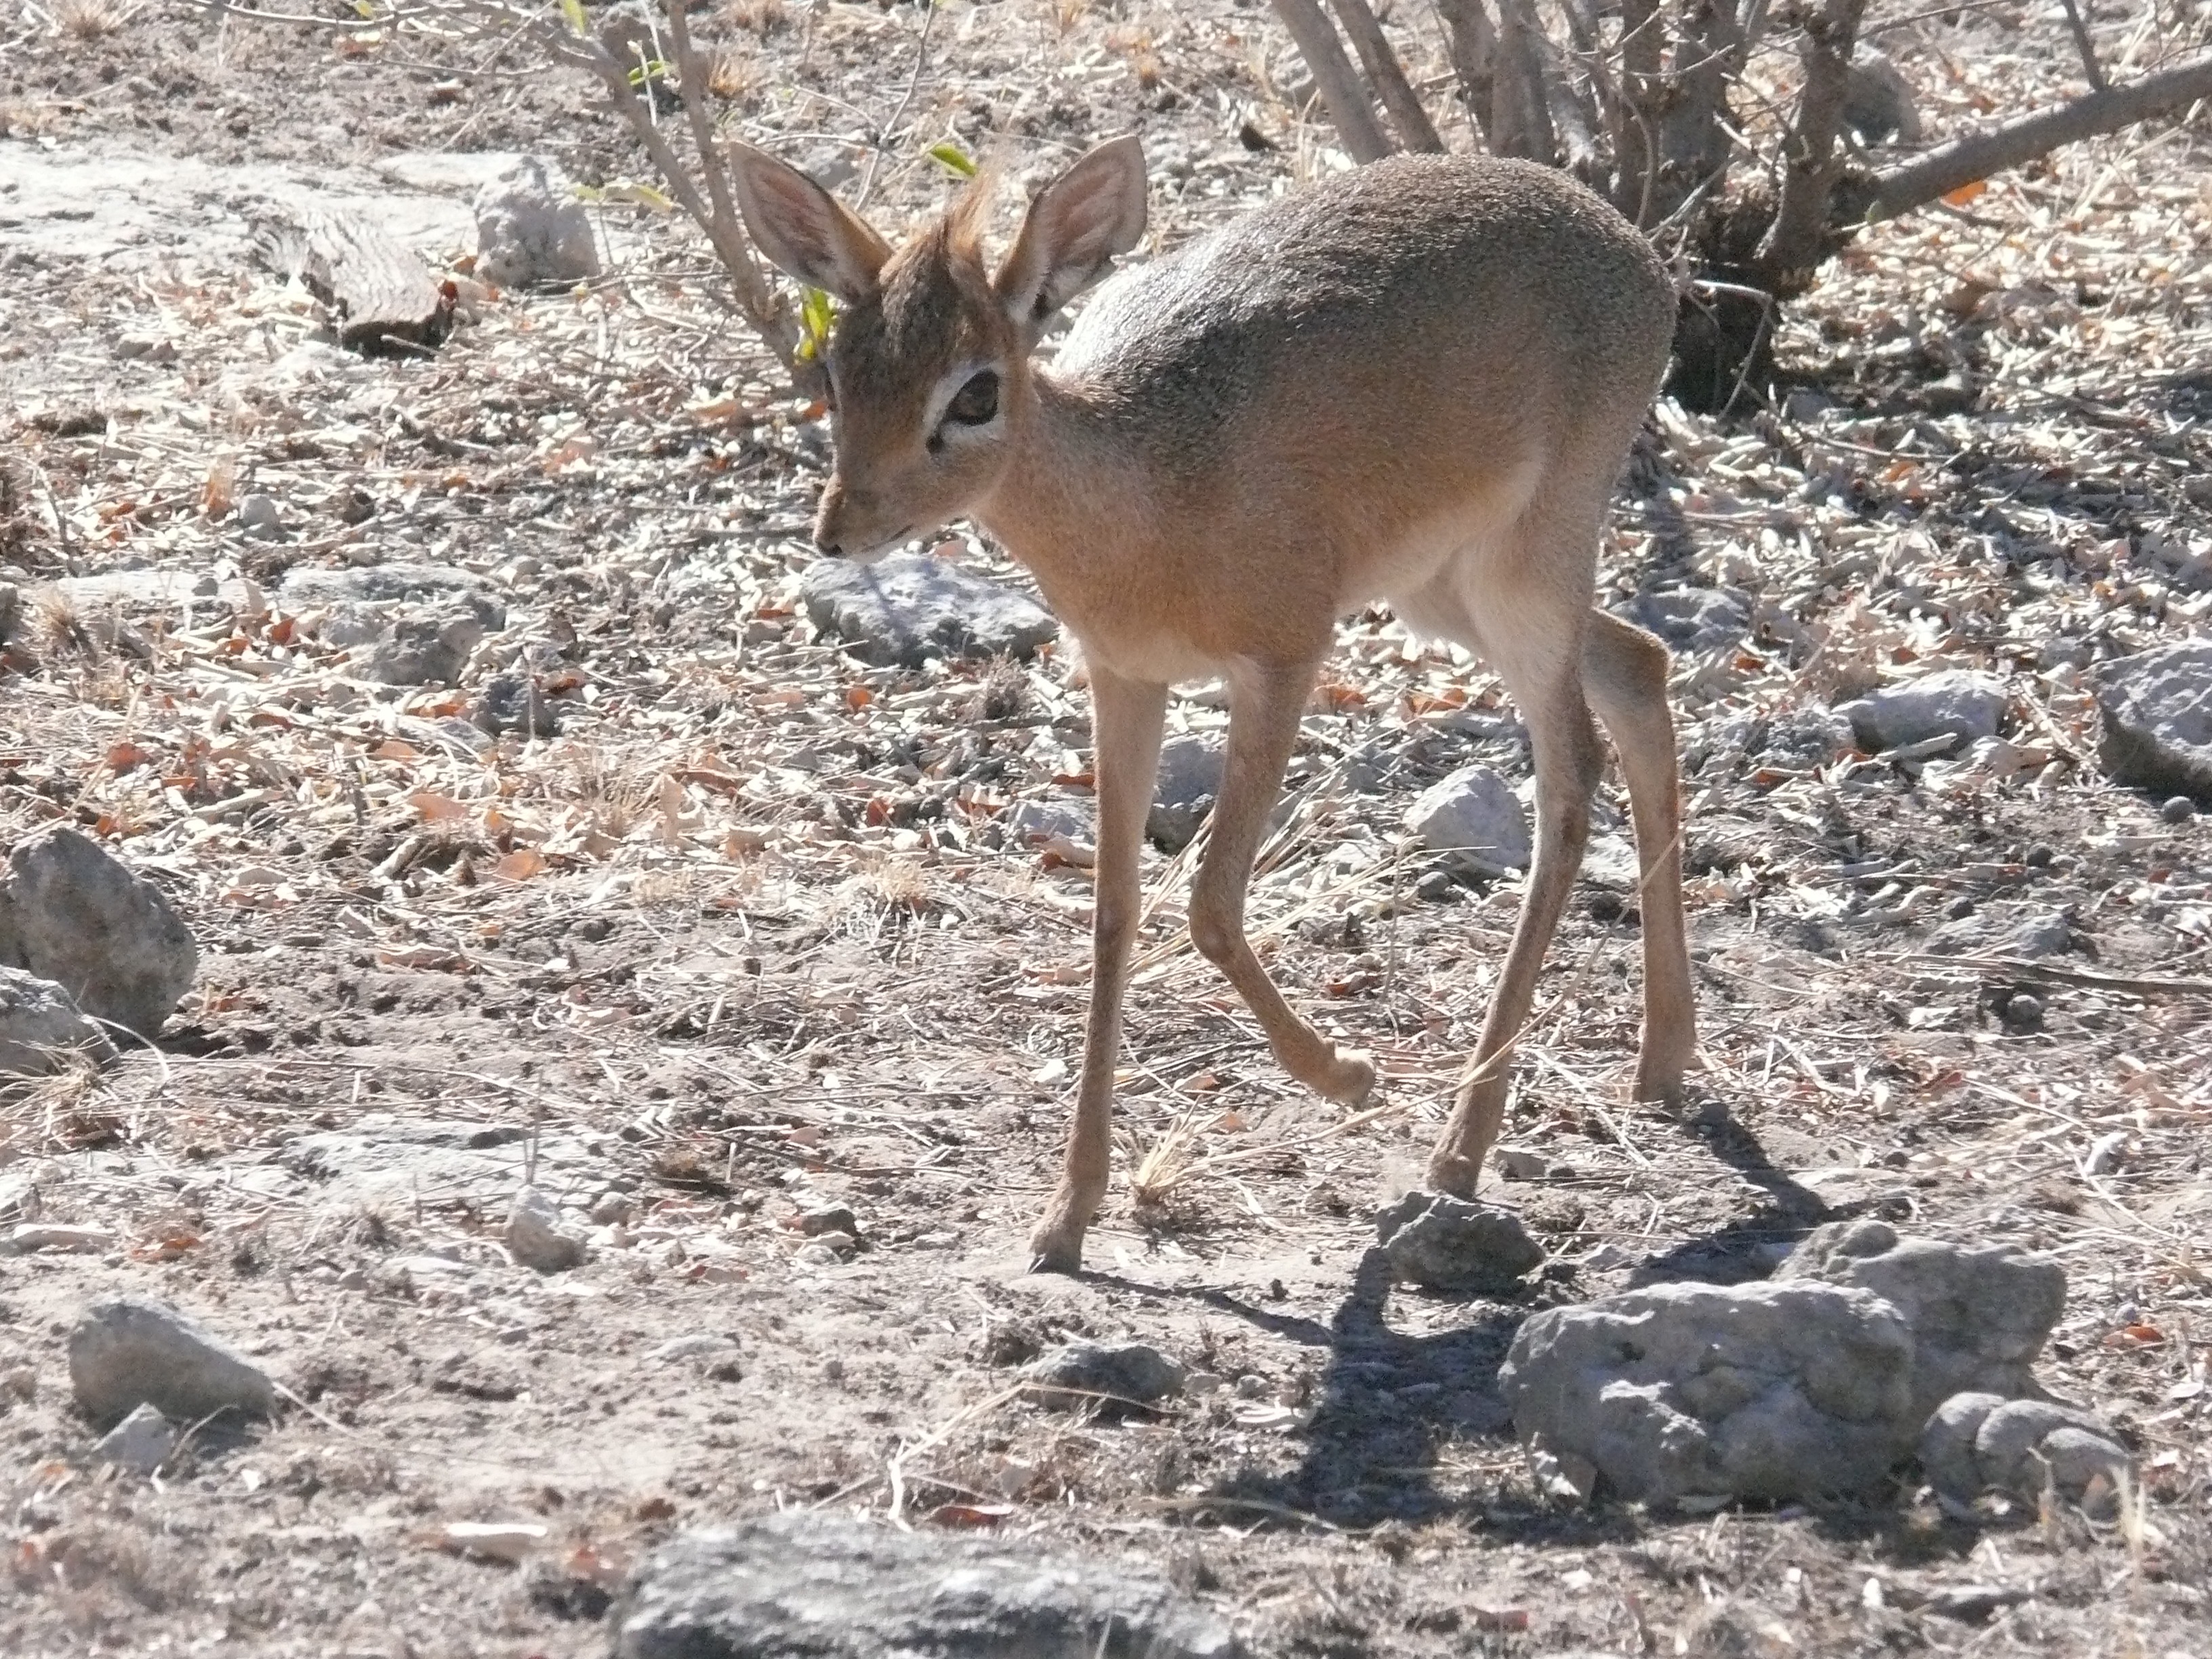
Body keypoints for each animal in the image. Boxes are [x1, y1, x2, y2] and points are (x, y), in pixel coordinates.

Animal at [727, 136, 1696, 1273]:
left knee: (1573, 773)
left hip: (1525, 568)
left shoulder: (1283, 657)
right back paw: (1663, 1061)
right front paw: (1068, 1212)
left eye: (974, 394)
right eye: (838, 370)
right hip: (1449, 588)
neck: (1151, 492)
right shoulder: (1125, 680)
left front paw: (1350, 1075)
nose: (842, 528)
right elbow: (1114, 913)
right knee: (1641, 669)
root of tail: (1634, 250)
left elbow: (1209, 902)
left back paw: (1462, 1149)